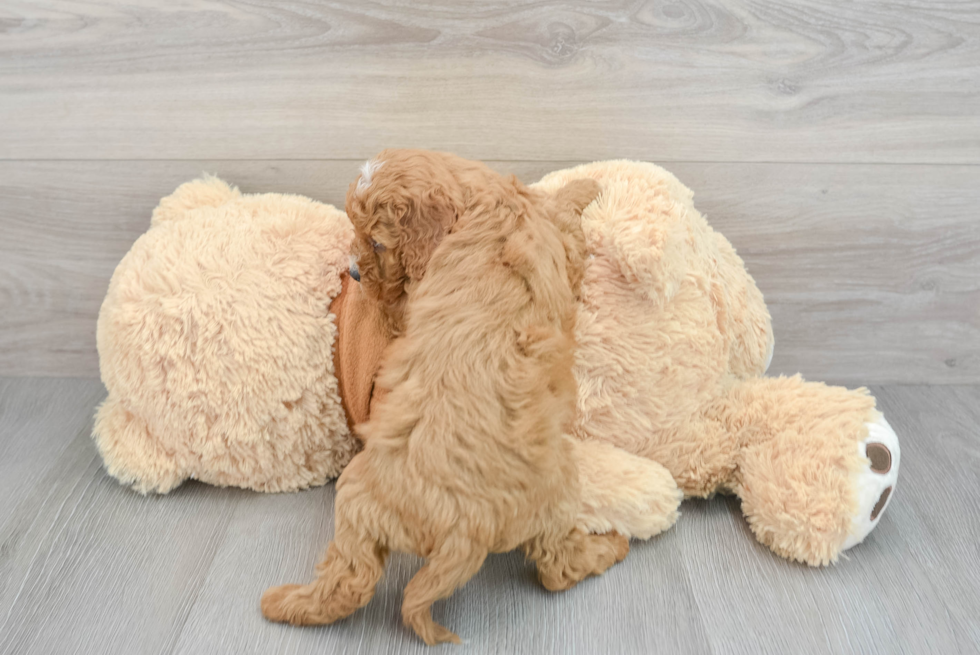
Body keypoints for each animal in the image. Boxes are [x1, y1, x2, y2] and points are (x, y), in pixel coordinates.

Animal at [262, 152, 628, 644]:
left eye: (376, 242)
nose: (353, 273)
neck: (478, 198)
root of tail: (460, 527)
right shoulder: (554, 237)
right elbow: (565, 220)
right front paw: (585, 187)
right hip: (557, 490)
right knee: (557, 567)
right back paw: (610, 547)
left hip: (355, 505)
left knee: (347, 578)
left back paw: (284, 604)